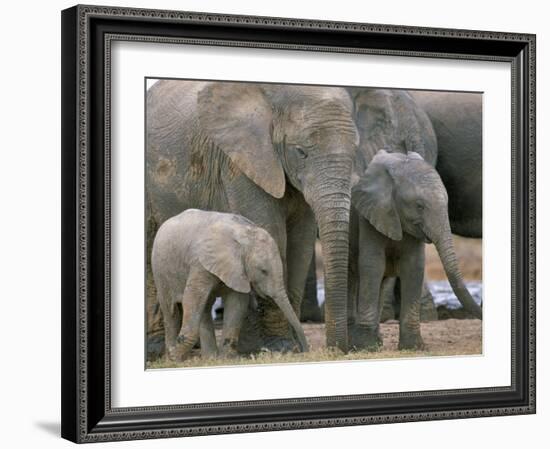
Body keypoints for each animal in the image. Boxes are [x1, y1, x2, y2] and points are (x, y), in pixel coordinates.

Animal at [152, 209, 310, 360]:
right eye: (263, 271)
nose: (305, 350)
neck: (243, 236)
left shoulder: (239, 270)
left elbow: (237, 303)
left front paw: (225, 359)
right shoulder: (200, 263)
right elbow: (191, 299)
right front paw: (175, 356)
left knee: (204, 306)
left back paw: (210, 358)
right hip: (160, 270)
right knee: (171, 310)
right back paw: (173, 358)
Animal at [350, 149, 484, 348]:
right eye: (419, 206)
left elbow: (414, 266)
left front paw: (413, 347)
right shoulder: (370, 215)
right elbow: (373, 264)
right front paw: (365, 347)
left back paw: (377, 342)